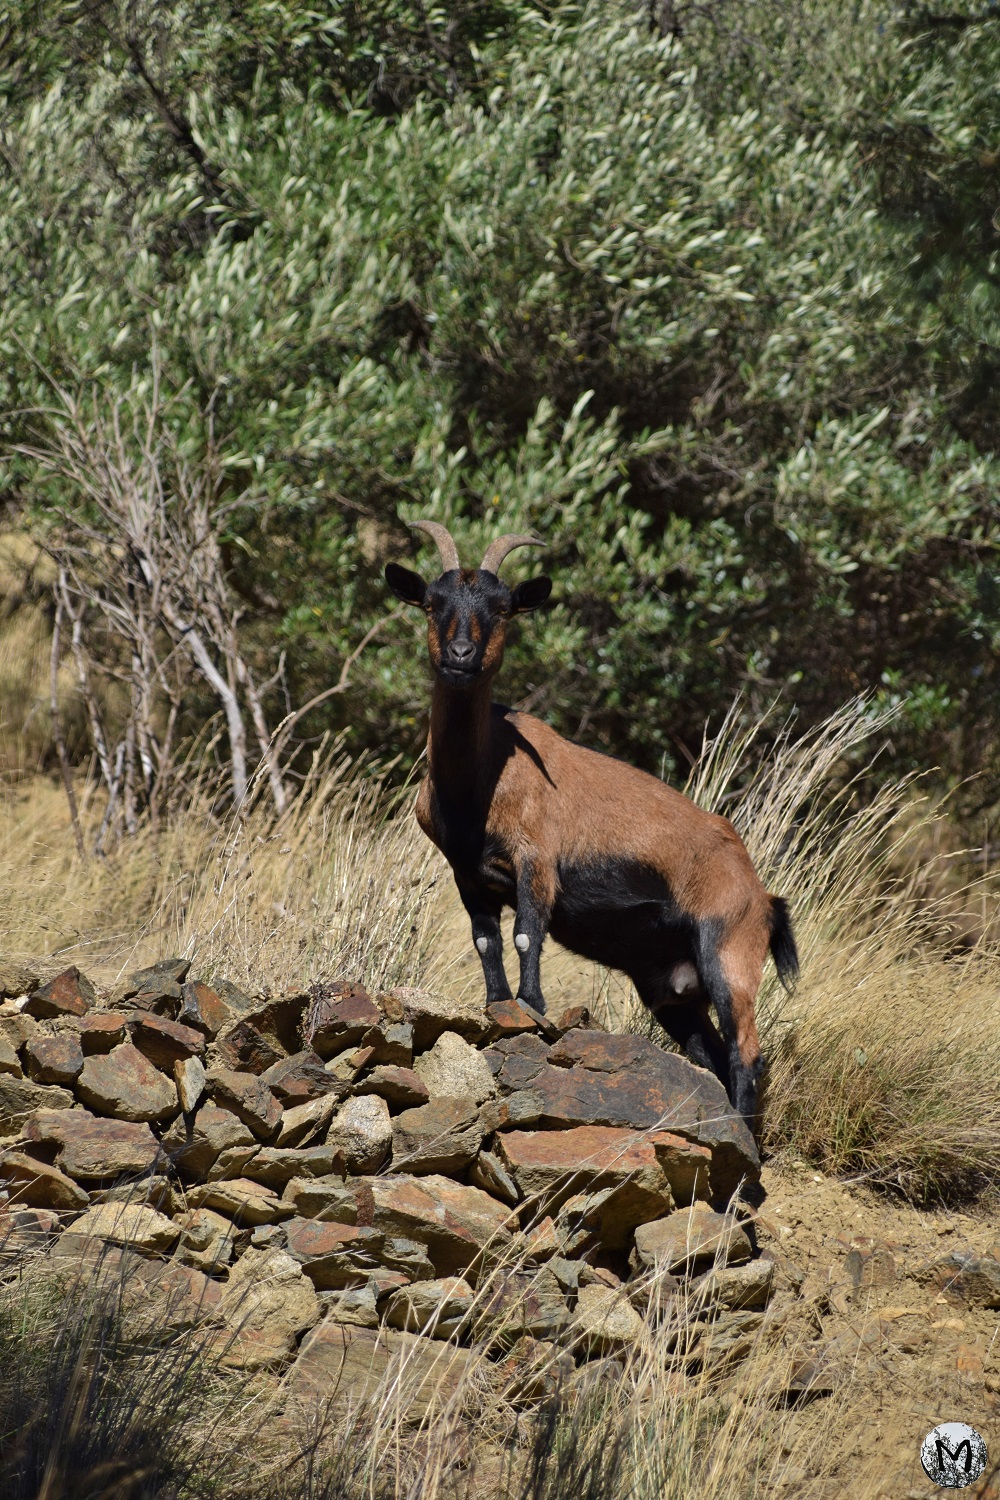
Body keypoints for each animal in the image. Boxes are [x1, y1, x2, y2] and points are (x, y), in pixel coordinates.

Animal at [385, 521, 798, 1125]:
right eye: (432, 603)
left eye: (503, 608)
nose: (461, 655)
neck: (481, 780)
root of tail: (762, 894)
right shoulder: (467, 873)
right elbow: (486, 941)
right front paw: (496, 1004)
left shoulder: (538, 860)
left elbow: (527, 932)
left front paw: (531, 1005)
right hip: (670, 987)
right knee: (713, 1055)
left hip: (730, 950)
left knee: (747, 1054)